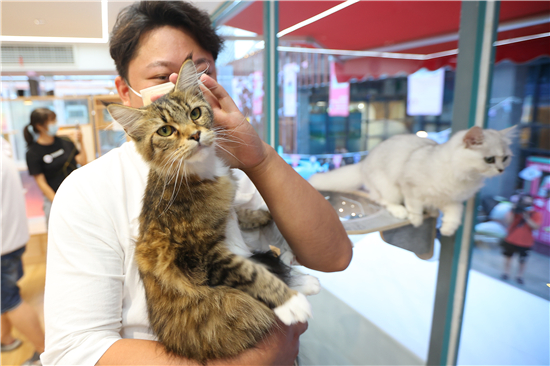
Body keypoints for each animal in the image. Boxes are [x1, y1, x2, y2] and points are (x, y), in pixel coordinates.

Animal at [105, 58, 316, 362]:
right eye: (165, 130)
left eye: (195, 113)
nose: (195, 135)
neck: (201, 172)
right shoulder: (201, 256)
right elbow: (250, 273)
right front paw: (289, 302)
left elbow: (240, 212)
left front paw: (261, 216)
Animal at [310, 126, 516, 234]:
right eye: (489, 159)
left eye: (505, 158)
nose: (501, 170)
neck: (465, 177)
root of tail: (363, 163)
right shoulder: (409, 185)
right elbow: (414, 205)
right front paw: (416, 220)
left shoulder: (453, 201)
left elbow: (454, 215)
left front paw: (447, 230)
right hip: (389, 189)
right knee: (382, 200)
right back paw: (400, 211)